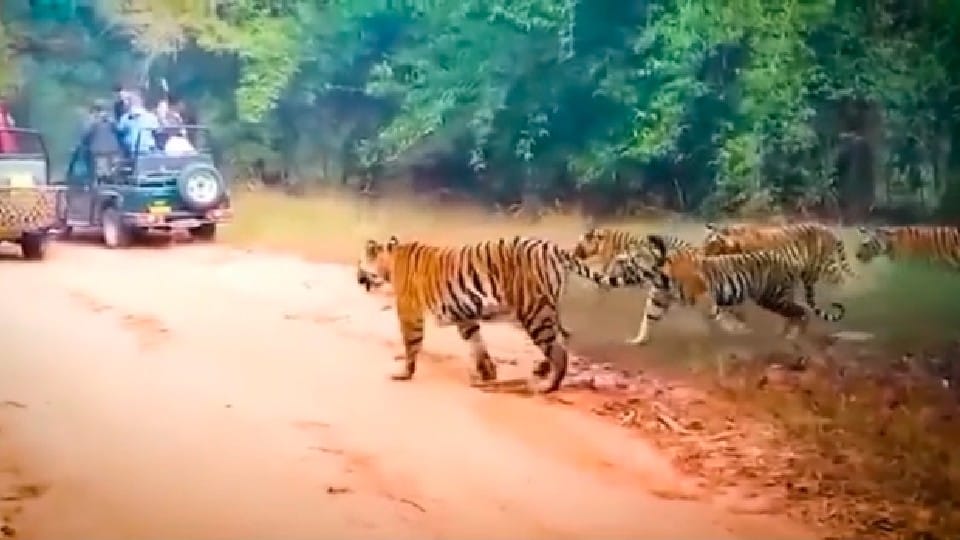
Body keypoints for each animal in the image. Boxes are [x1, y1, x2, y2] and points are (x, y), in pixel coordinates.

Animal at [356, 235, 651, 394]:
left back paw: (548, 386)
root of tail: (552, 247)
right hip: (547, 309)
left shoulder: (410, 312)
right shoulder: (465, 316)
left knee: (558, 350)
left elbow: (411, 343)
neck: (390, 260)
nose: (357, 278)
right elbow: (477, 343)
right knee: (560, 341)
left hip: (534, 312)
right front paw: (488, 373)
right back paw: (542, 370)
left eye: (360, 263)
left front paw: (404, 373)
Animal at [607, 234, 846, 345]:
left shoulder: (705, 297)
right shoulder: (658, 299)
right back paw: (785, 335)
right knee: (795, 313)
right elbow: (647, 320)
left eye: (627, 260)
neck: (658, 276)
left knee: (802, 312)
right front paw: (638, 340)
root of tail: (791, 261)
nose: (613, 264)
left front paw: (737, 331)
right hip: (774, 298)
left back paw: (792, 336)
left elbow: (719, 316)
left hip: (774, 296)